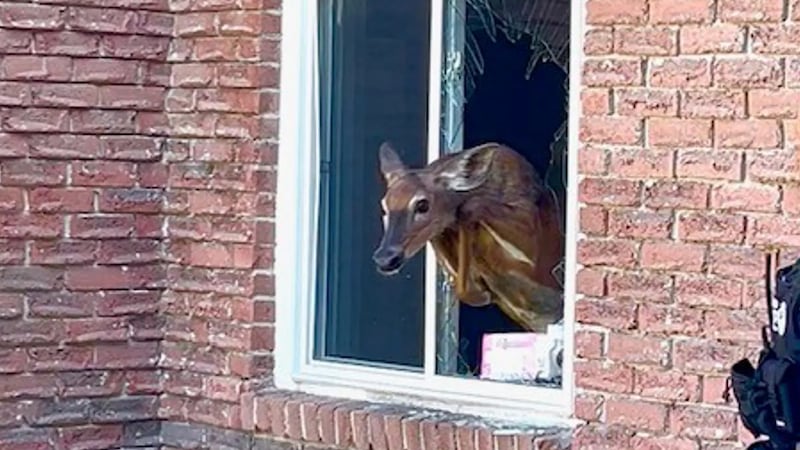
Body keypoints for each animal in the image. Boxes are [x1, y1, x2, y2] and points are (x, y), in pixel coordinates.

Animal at [372, 141, 565, 333]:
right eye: (384, 206)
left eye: (423, 204)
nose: (385, 258)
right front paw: (481, 293)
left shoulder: (536, 247)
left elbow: (470, 207)